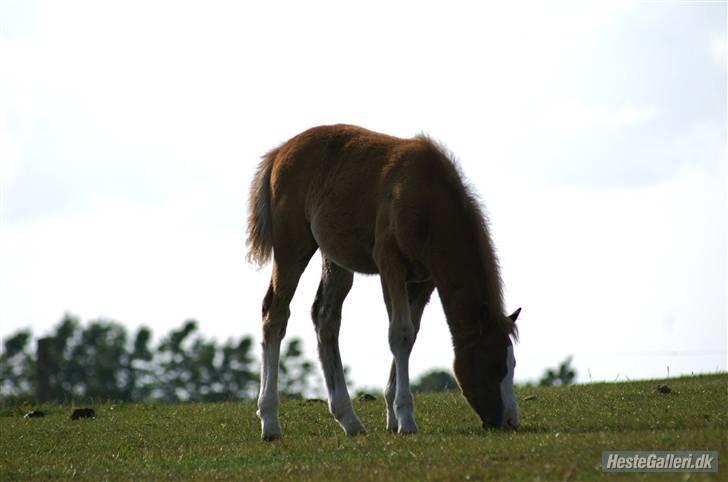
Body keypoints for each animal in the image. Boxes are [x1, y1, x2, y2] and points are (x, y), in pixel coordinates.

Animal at [247, 125, 520, 440]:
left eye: (513, 363)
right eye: (493, 362)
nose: (510, 421)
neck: (428, 199)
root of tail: (279, 152)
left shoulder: (423, 281)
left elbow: (410, 334)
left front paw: (393, 416)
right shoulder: (390, 264)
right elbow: (400, 334)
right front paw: (406, 419)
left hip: (335, 258)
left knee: (325, 318)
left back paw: (349, 419)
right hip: (292, 249)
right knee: (275, 315)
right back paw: (269, 421)